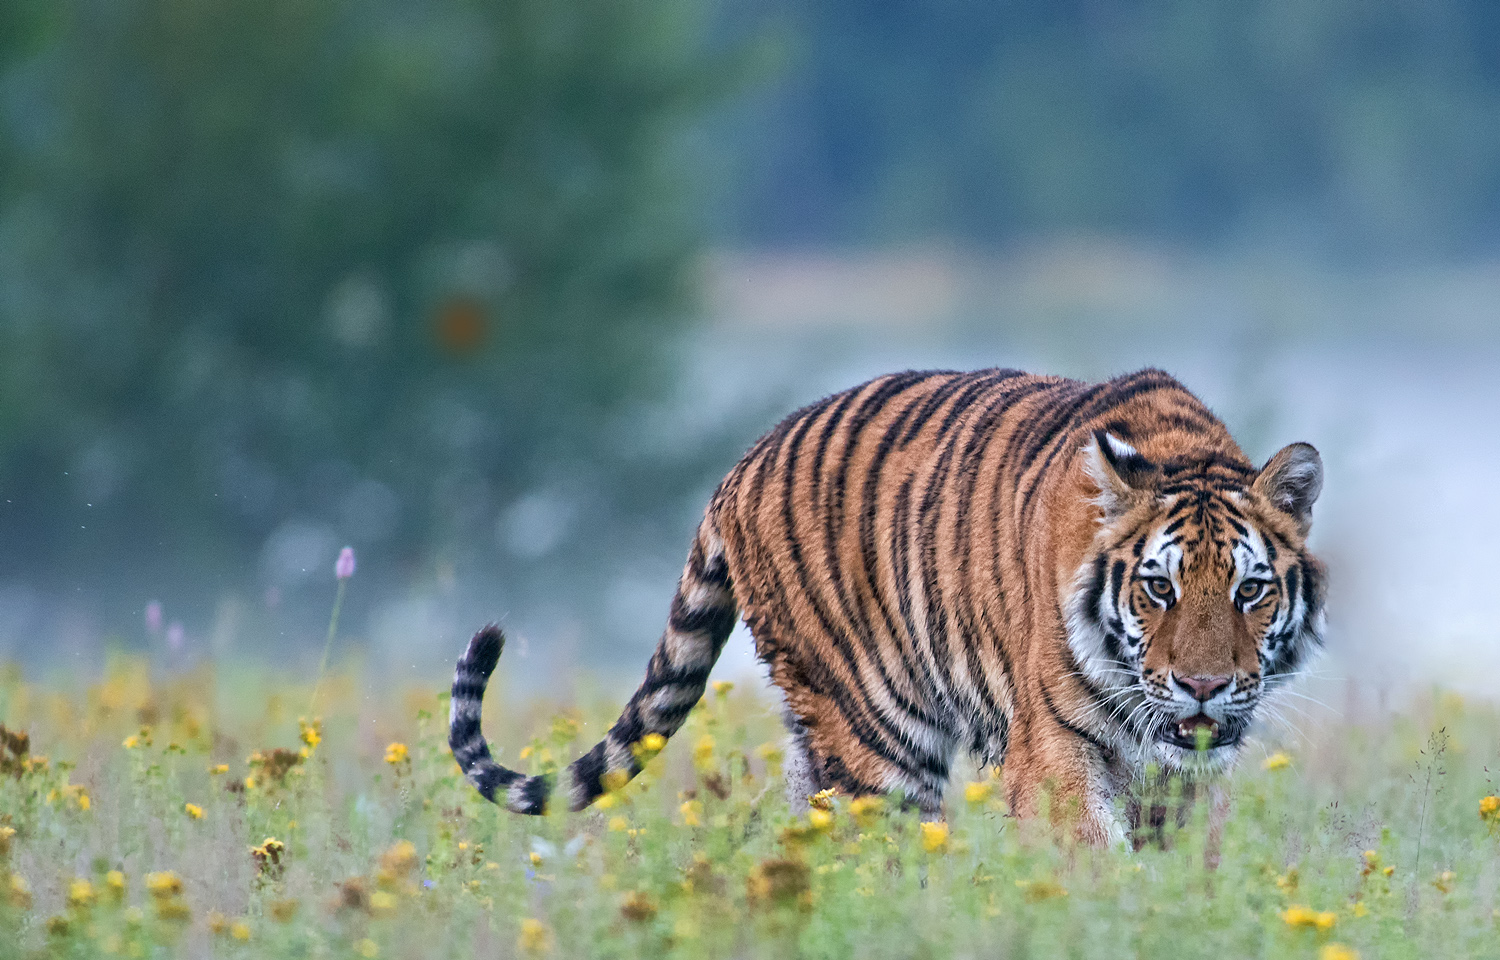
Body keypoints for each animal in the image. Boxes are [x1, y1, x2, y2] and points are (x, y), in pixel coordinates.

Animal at [444, 369, 1326, 846]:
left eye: (1250, 589)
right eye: (1158, 588)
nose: (1204, 688)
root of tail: (742, 463)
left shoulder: (1185, 780)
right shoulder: (1054, 756)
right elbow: (1091, 857)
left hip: (821, 738)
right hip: (878, 737)